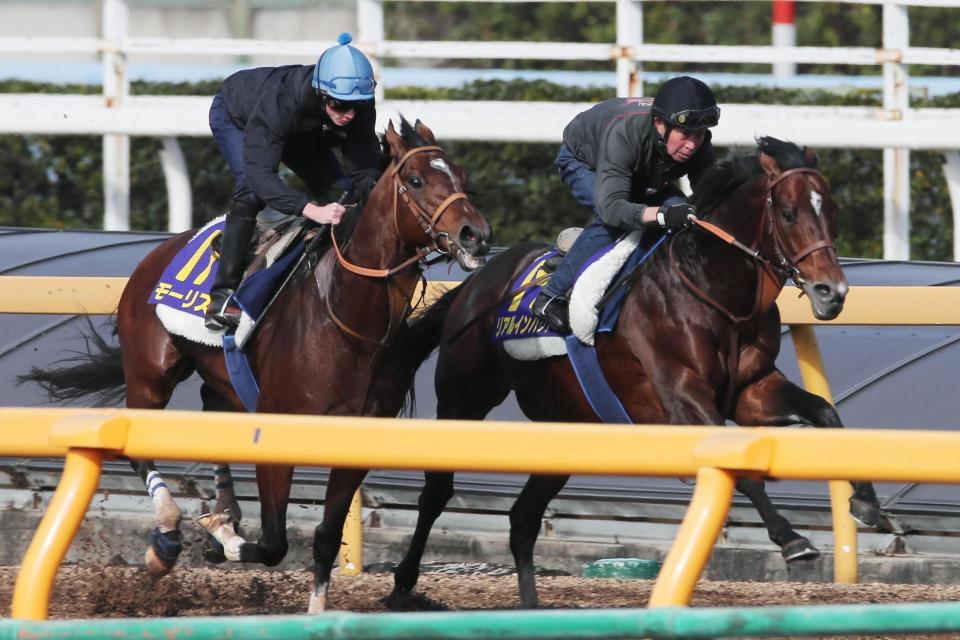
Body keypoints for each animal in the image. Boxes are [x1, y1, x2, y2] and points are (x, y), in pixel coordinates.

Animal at [24, 117, 488, 612]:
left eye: (462, 176)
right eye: (416, 180)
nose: (475, 235)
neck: (347, 316)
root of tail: (161, 252)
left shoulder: (357, 438)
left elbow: (325, 538)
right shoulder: (279, 426)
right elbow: (273, 543)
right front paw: (219, 535)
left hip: (222, 383)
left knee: (212, 419)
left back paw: (220, 511)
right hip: (151, 375)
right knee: (137, 444)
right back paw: (166, 540)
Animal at [388, 138, 900, 608]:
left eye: (831, 211)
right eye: (790, 213)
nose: (832, 292)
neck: (712, 288)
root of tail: (478, 280)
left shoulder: (752, 392)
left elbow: (825, 412)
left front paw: (867, 504)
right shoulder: (682, 396)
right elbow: (740, 468)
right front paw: (792, 539)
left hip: (567, 423)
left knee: (522, 519)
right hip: (465, 397)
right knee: (438, 492)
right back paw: (402, 585)